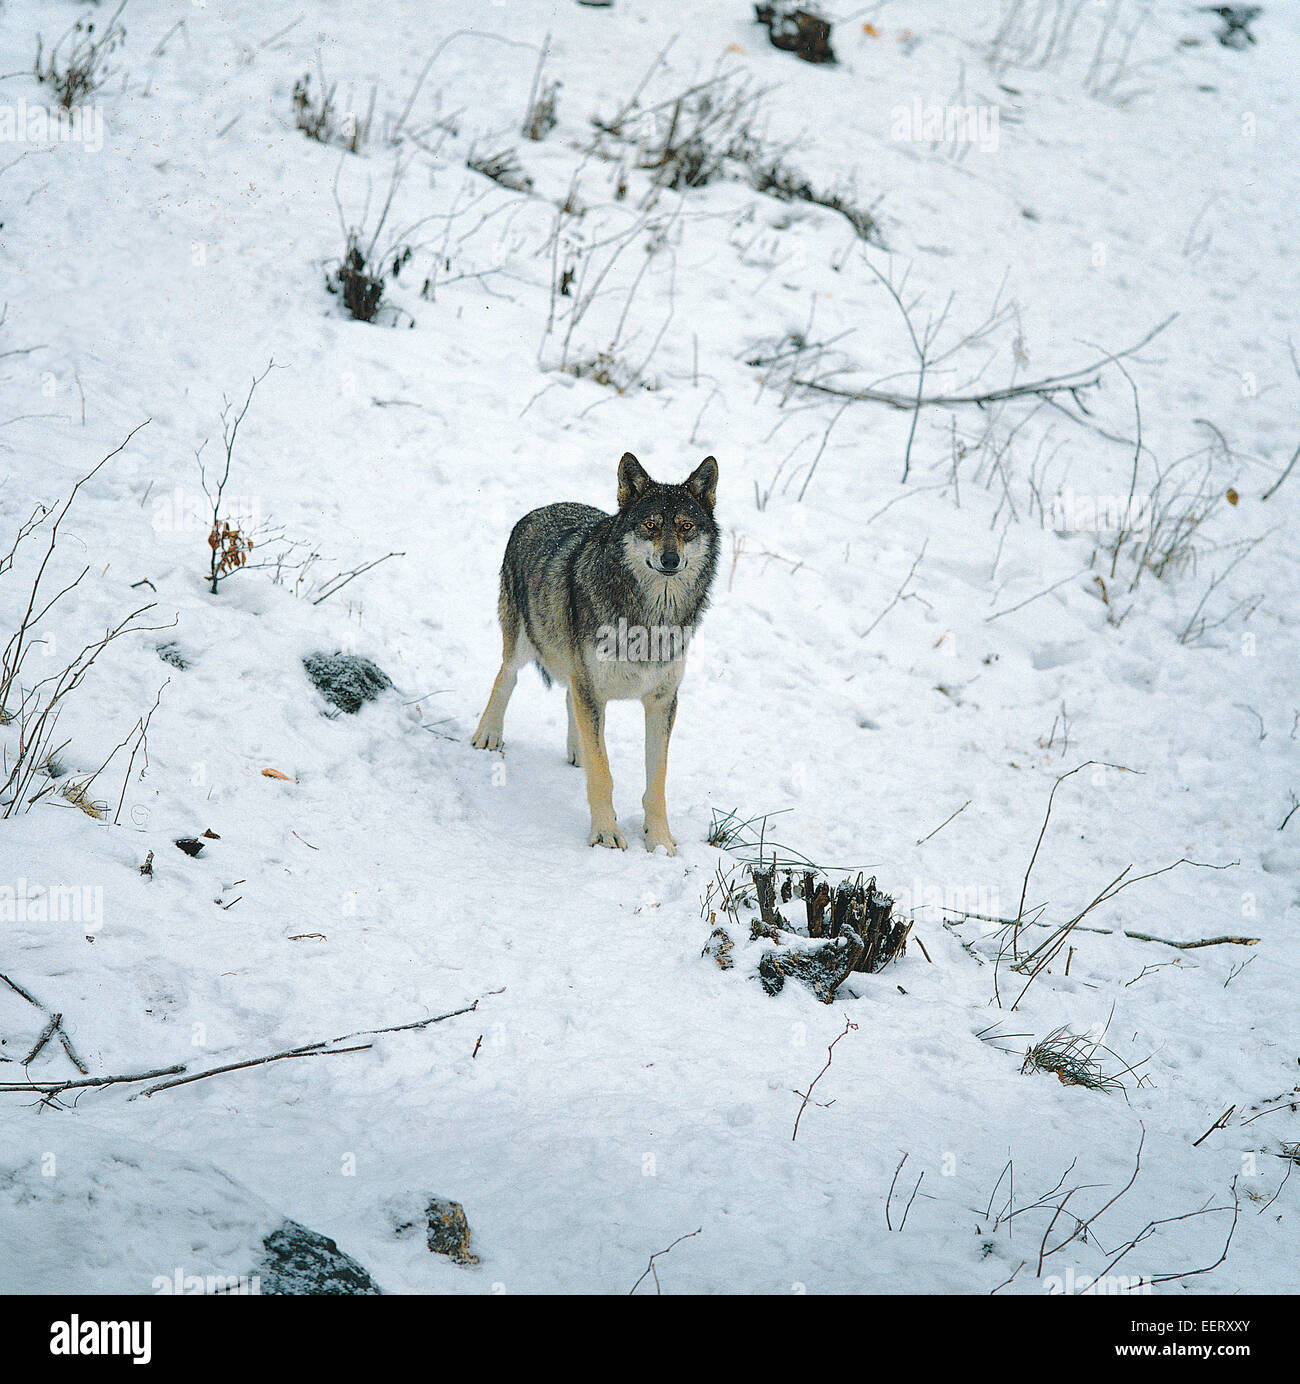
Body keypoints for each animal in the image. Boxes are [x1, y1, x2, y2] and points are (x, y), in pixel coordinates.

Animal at [472, 452, 719, 854]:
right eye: (650, 525)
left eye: (685, 527)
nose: (669, 559)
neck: (651, 618)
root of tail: (542, 508)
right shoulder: (591, 689)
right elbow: (603, 774)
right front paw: (605, 835)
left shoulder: (662, 701)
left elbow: (657, 781)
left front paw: (660, 842)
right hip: (525, 644)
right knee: (505, 677)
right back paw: (488, 734)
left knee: (570, 704)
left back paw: (577, 752)